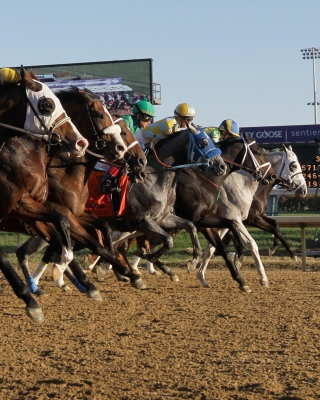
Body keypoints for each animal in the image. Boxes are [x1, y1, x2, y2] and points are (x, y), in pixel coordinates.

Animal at [0, 65, 91, 322]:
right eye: (47, 105)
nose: (81, 143)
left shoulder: (27, 205)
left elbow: (62, 228)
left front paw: (63, 268)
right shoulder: (15, 205)